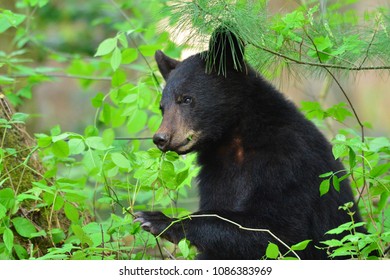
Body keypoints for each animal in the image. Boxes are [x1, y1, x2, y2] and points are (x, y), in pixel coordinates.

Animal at [135, 27, 366, 260]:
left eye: (186, 99)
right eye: (162, 107)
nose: (161, 138)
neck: (235, 137)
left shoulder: (288, 159)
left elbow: (279, 229)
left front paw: (159, 220)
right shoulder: (215, 170)